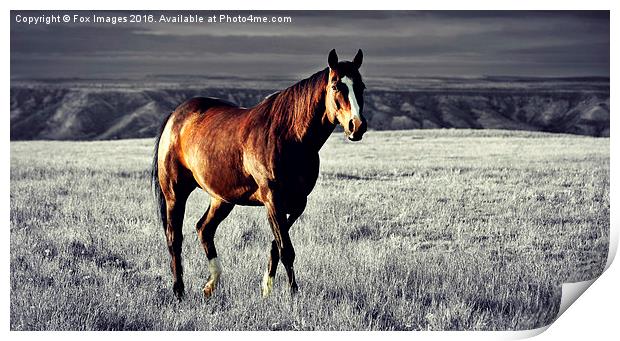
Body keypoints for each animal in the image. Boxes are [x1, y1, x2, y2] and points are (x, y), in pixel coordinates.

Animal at [152, 49, 368, 298]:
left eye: (361, 86)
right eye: (335, 86)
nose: (357, 126)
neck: (289, 135)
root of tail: (175, 116)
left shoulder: (297, 203)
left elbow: (277, 245)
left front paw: (267, 288)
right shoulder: (273, 200)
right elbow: (286, 249)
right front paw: (293, 293)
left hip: (221, 198)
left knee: (204, 229)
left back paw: (211, 285)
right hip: (175, 194)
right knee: (174, 238)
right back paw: (179, 291)